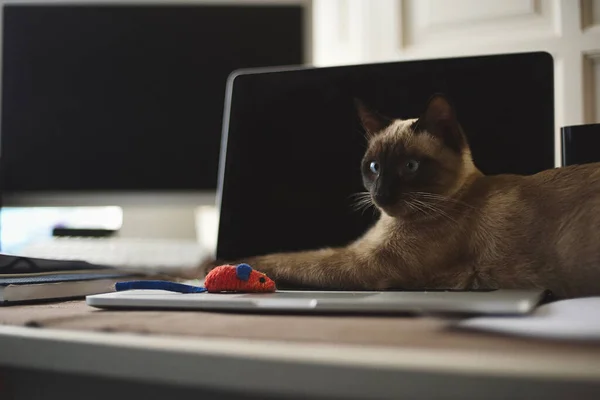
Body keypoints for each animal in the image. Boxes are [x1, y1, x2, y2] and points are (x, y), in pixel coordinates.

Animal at [205, 94, 600, 298]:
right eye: (374, 167)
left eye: (410, 167)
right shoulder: (356, 251)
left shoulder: (365, 263)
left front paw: (227, 268)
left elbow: (289, 259)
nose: (382, 194)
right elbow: (299, 254)